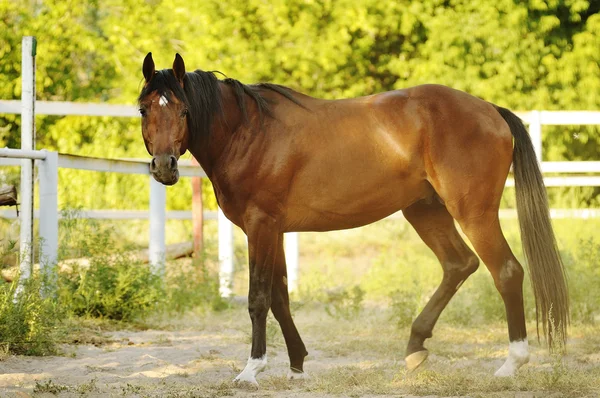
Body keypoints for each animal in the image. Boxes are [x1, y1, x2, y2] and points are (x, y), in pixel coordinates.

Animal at [139, 52, 568, 386]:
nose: (164, 167)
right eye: (144, 109)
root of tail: (490, 110)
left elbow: (258, 298)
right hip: (425, 210)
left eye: (184, 110)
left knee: (507, 271)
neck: (248, 132)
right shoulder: (275, 230)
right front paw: (297, 364)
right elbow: (280, 296)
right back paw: (415, 347)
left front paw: (251, 370)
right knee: (459, 265)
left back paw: (511, 364)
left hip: (472, 212)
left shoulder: (261, 226)